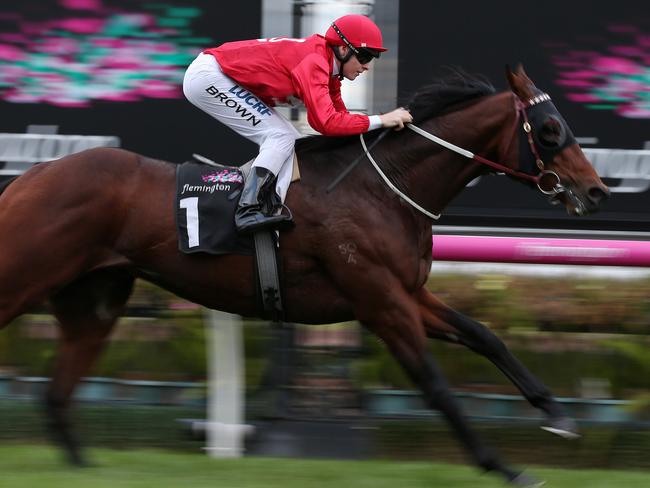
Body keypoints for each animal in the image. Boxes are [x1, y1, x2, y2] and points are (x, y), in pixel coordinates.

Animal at [1, 63, 608, 484]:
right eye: (549, 129)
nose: (597, 191)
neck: (383, 188)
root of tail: (32, 175)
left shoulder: (407, 293)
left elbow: (486, 337)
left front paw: (559, 415)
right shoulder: (380, 301)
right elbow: (435, 384)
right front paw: (504, 467)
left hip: (93, 300)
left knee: (56, 394)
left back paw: (82, 464)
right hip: (26, 275)